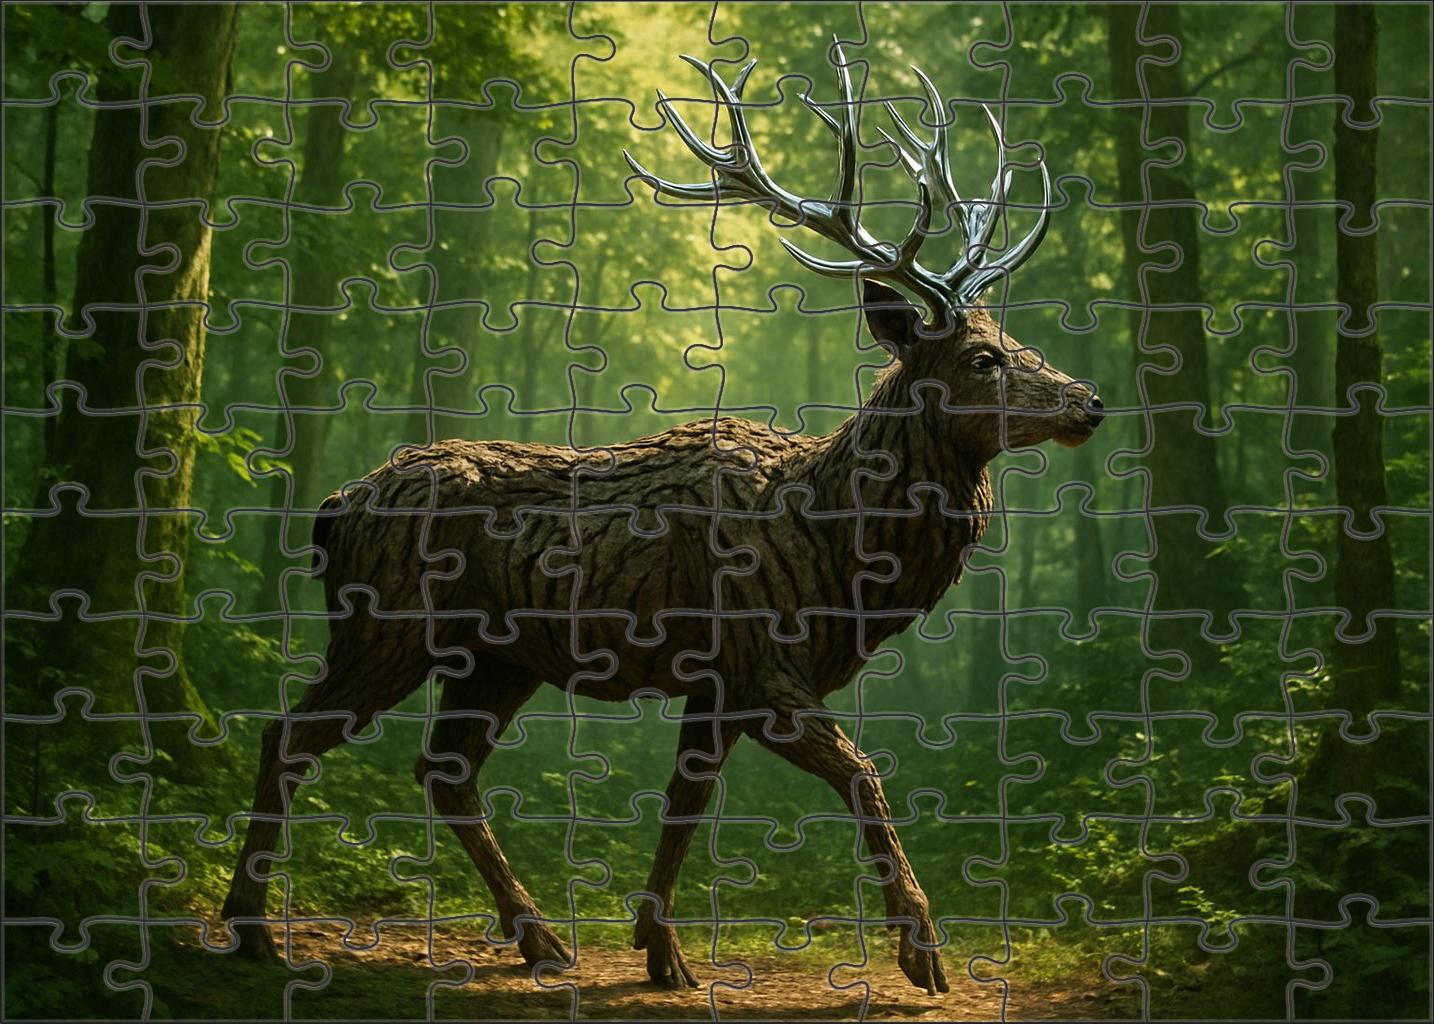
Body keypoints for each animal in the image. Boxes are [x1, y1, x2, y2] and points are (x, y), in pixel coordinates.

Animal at [221, 44, 1103, 996]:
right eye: (982, 357)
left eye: (1019, 341)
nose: (1090, 402)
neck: (839, 546)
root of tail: (333, 508)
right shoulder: (761, 662)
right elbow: (863, 774)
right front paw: (923, 953)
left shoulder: (716, 684)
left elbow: (687, 801)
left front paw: (660, 948)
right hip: (388, 626)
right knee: (289, 734)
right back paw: (251, 929)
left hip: (496, 659)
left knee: (443, 771)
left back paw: (541, 938)